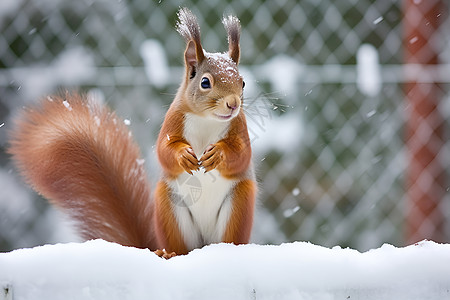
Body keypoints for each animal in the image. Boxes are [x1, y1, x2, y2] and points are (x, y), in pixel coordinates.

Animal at [8, 7, 256, 256]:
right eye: (205, 83)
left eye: (243, 83)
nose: (233, 104)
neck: (207, 120)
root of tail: (203, 246)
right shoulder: (173, 122)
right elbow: (164, 151)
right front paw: (183, 155)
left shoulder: (239, 127)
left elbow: (241, 154)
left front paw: (218, 153)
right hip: (170, 208)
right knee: (179, 248)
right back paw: (168, 253)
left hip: (238, 205)